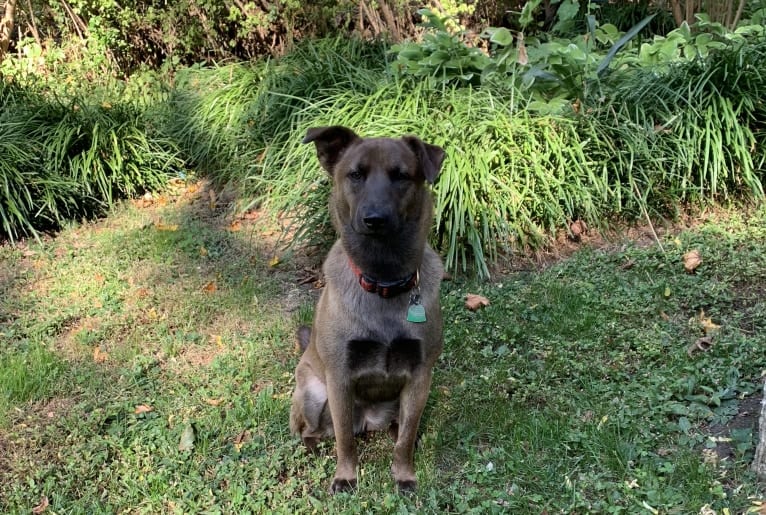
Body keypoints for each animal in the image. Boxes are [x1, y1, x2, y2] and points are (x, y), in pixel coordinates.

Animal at [292, 127, 448, 494]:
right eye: (356, 174)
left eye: (401, 175)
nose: (375, 219)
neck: (383, 280)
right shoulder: (339, 379)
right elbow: (345, 440)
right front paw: (346, 476)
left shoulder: (420, 376)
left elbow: (404, 439)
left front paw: (404, 475)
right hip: (313, 393)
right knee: (311, 431)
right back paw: (313, 446)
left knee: (398, 428)